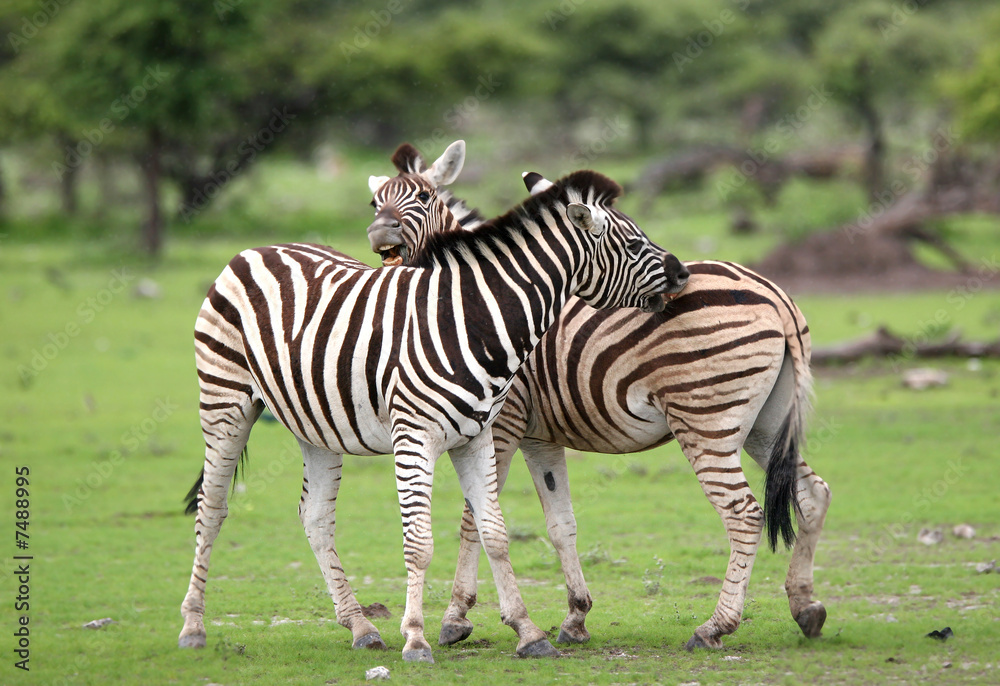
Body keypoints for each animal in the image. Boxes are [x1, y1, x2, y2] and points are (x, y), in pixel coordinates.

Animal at [177, 161, 691, 663]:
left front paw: (528, 632)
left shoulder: (479, 436)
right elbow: (420, 543)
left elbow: (494, 532)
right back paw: (193, 627)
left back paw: (361, 627)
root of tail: (257, 248)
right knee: (212, 506)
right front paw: (417, 638)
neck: (473, 323)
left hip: (315, 424)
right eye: (632, 242)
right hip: (224, 401)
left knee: (316, 517)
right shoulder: (415, 437)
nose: (684, 273)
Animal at [366, 143, 831, 651]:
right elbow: (561, 524)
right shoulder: (540, 437)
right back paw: (806, 607)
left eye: (424, 196)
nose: (380, 233)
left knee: (744, 514)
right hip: (766, 425)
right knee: (812, 495)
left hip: (706, 420)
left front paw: (457, 616)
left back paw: (714, 627)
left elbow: (474, 517)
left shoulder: (502, 424)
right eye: (375, 202)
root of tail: (774, 296)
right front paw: (575, 616)